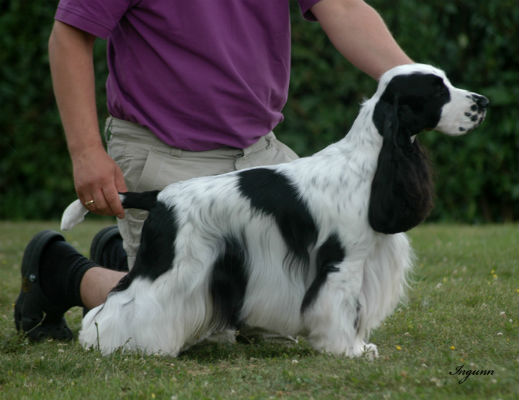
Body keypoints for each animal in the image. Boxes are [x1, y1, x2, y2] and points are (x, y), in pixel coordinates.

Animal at [61, 64, 488, 358]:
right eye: (437, 90)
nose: (482, 103)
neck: (370, 161)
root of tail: (159, 196)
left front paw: (358, 346)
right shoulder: (343, 261)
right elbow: (340, 306)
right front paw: (346, 350)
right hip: (172, 265)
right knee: (125, 301)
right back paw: (108, 342)